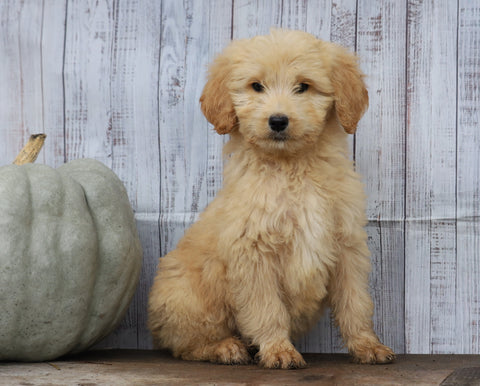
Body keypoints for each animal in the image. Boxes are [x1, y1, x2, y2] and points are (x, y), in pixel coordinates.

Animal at [148, 29, 396, 368]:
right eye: (256, 86)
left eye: (303, 86)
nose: (278, 120)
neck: (291, 167)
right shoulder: (253, 251)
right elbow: (267, 308)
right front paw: (279, 349)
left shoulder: (347, 246)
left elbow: (355, 302)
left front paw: (367, 345)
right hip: (187, 297)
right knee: (185, 344)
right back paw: (225, 348)